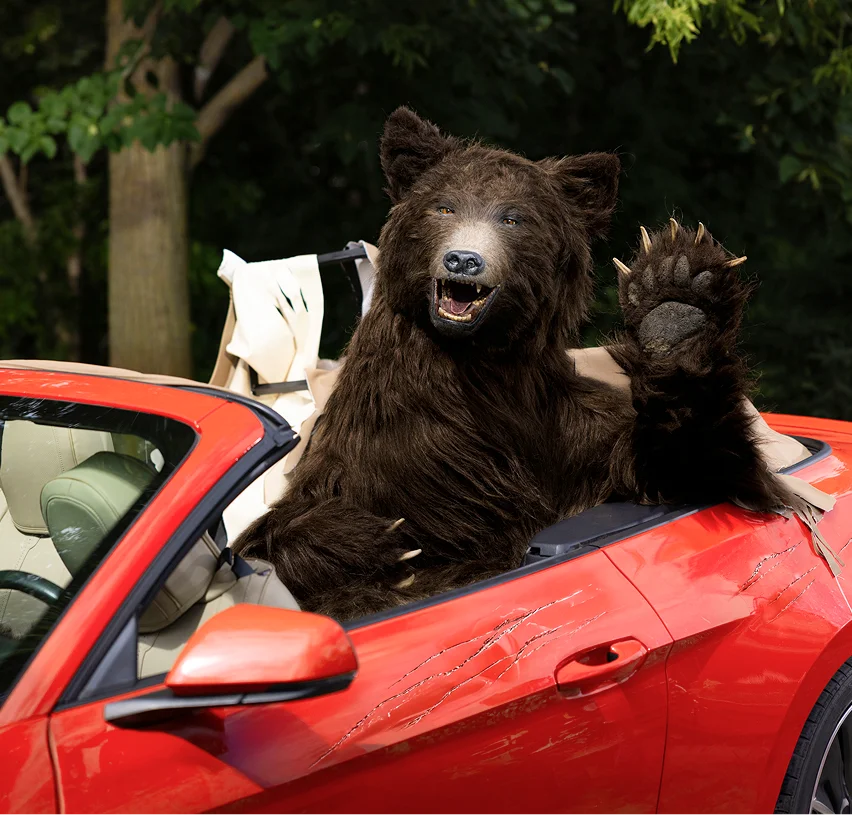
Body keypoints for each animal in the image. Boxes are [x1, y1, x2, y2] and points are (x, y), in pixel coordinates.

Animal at [234, 107, 801, 621]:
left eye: (513, 217)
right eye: (443, 207)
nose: (464, 259)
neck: (478, 369)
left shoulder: (565, 438)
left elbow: (680, 468)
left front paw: (677, 294)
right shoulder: (390, 447)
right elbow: (288, 541)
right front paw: (383, 540)